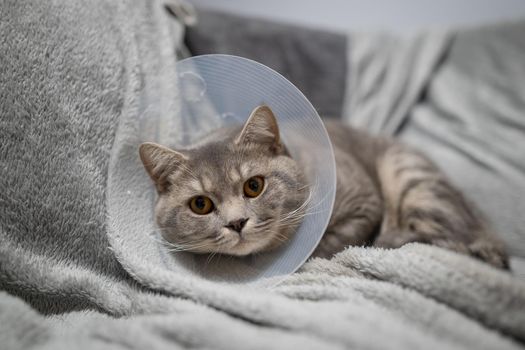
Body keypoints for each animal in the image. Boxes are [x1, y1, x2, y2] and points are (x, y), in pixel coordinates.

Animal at [139, 104, 508, 268]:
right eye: (200, 204)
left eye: (254, 186)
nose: (236, 222)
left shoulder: (364, 202)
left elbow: (334, 241)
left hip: (410, 176)